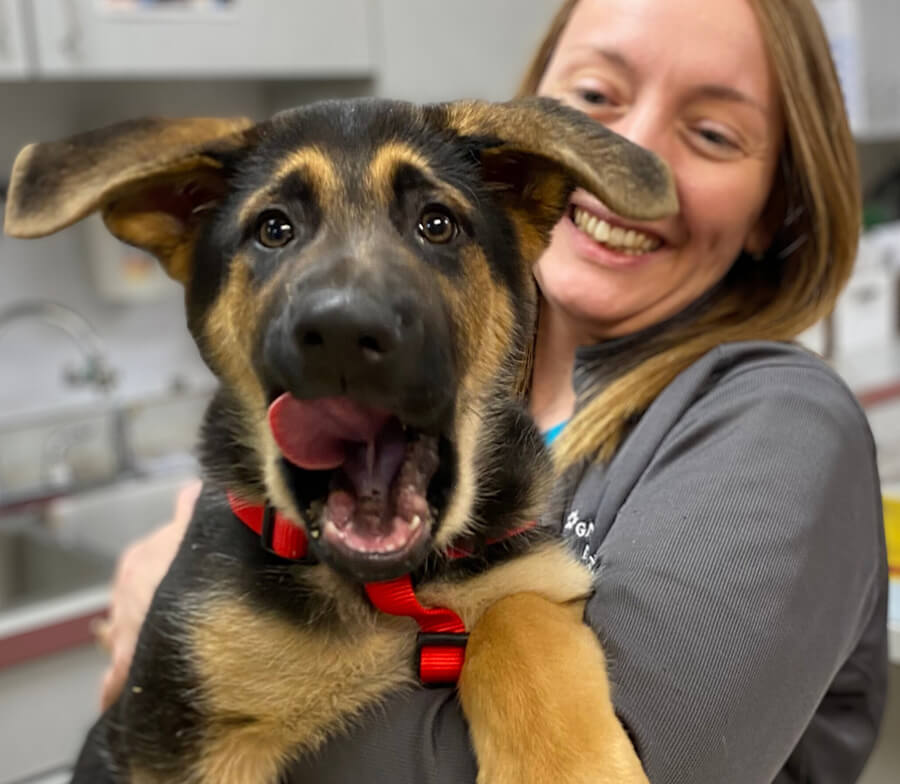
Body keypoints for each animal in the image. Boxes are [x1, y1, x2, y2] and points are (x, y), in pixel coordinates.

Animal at [1, 99, 676, 784]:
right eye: (274, 230)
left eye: (437, 224)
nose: (345, 333)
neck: (395, 590)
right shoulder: (170, 730)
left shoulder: (533, 577)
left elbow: (515, 616)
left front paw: (569, 763)